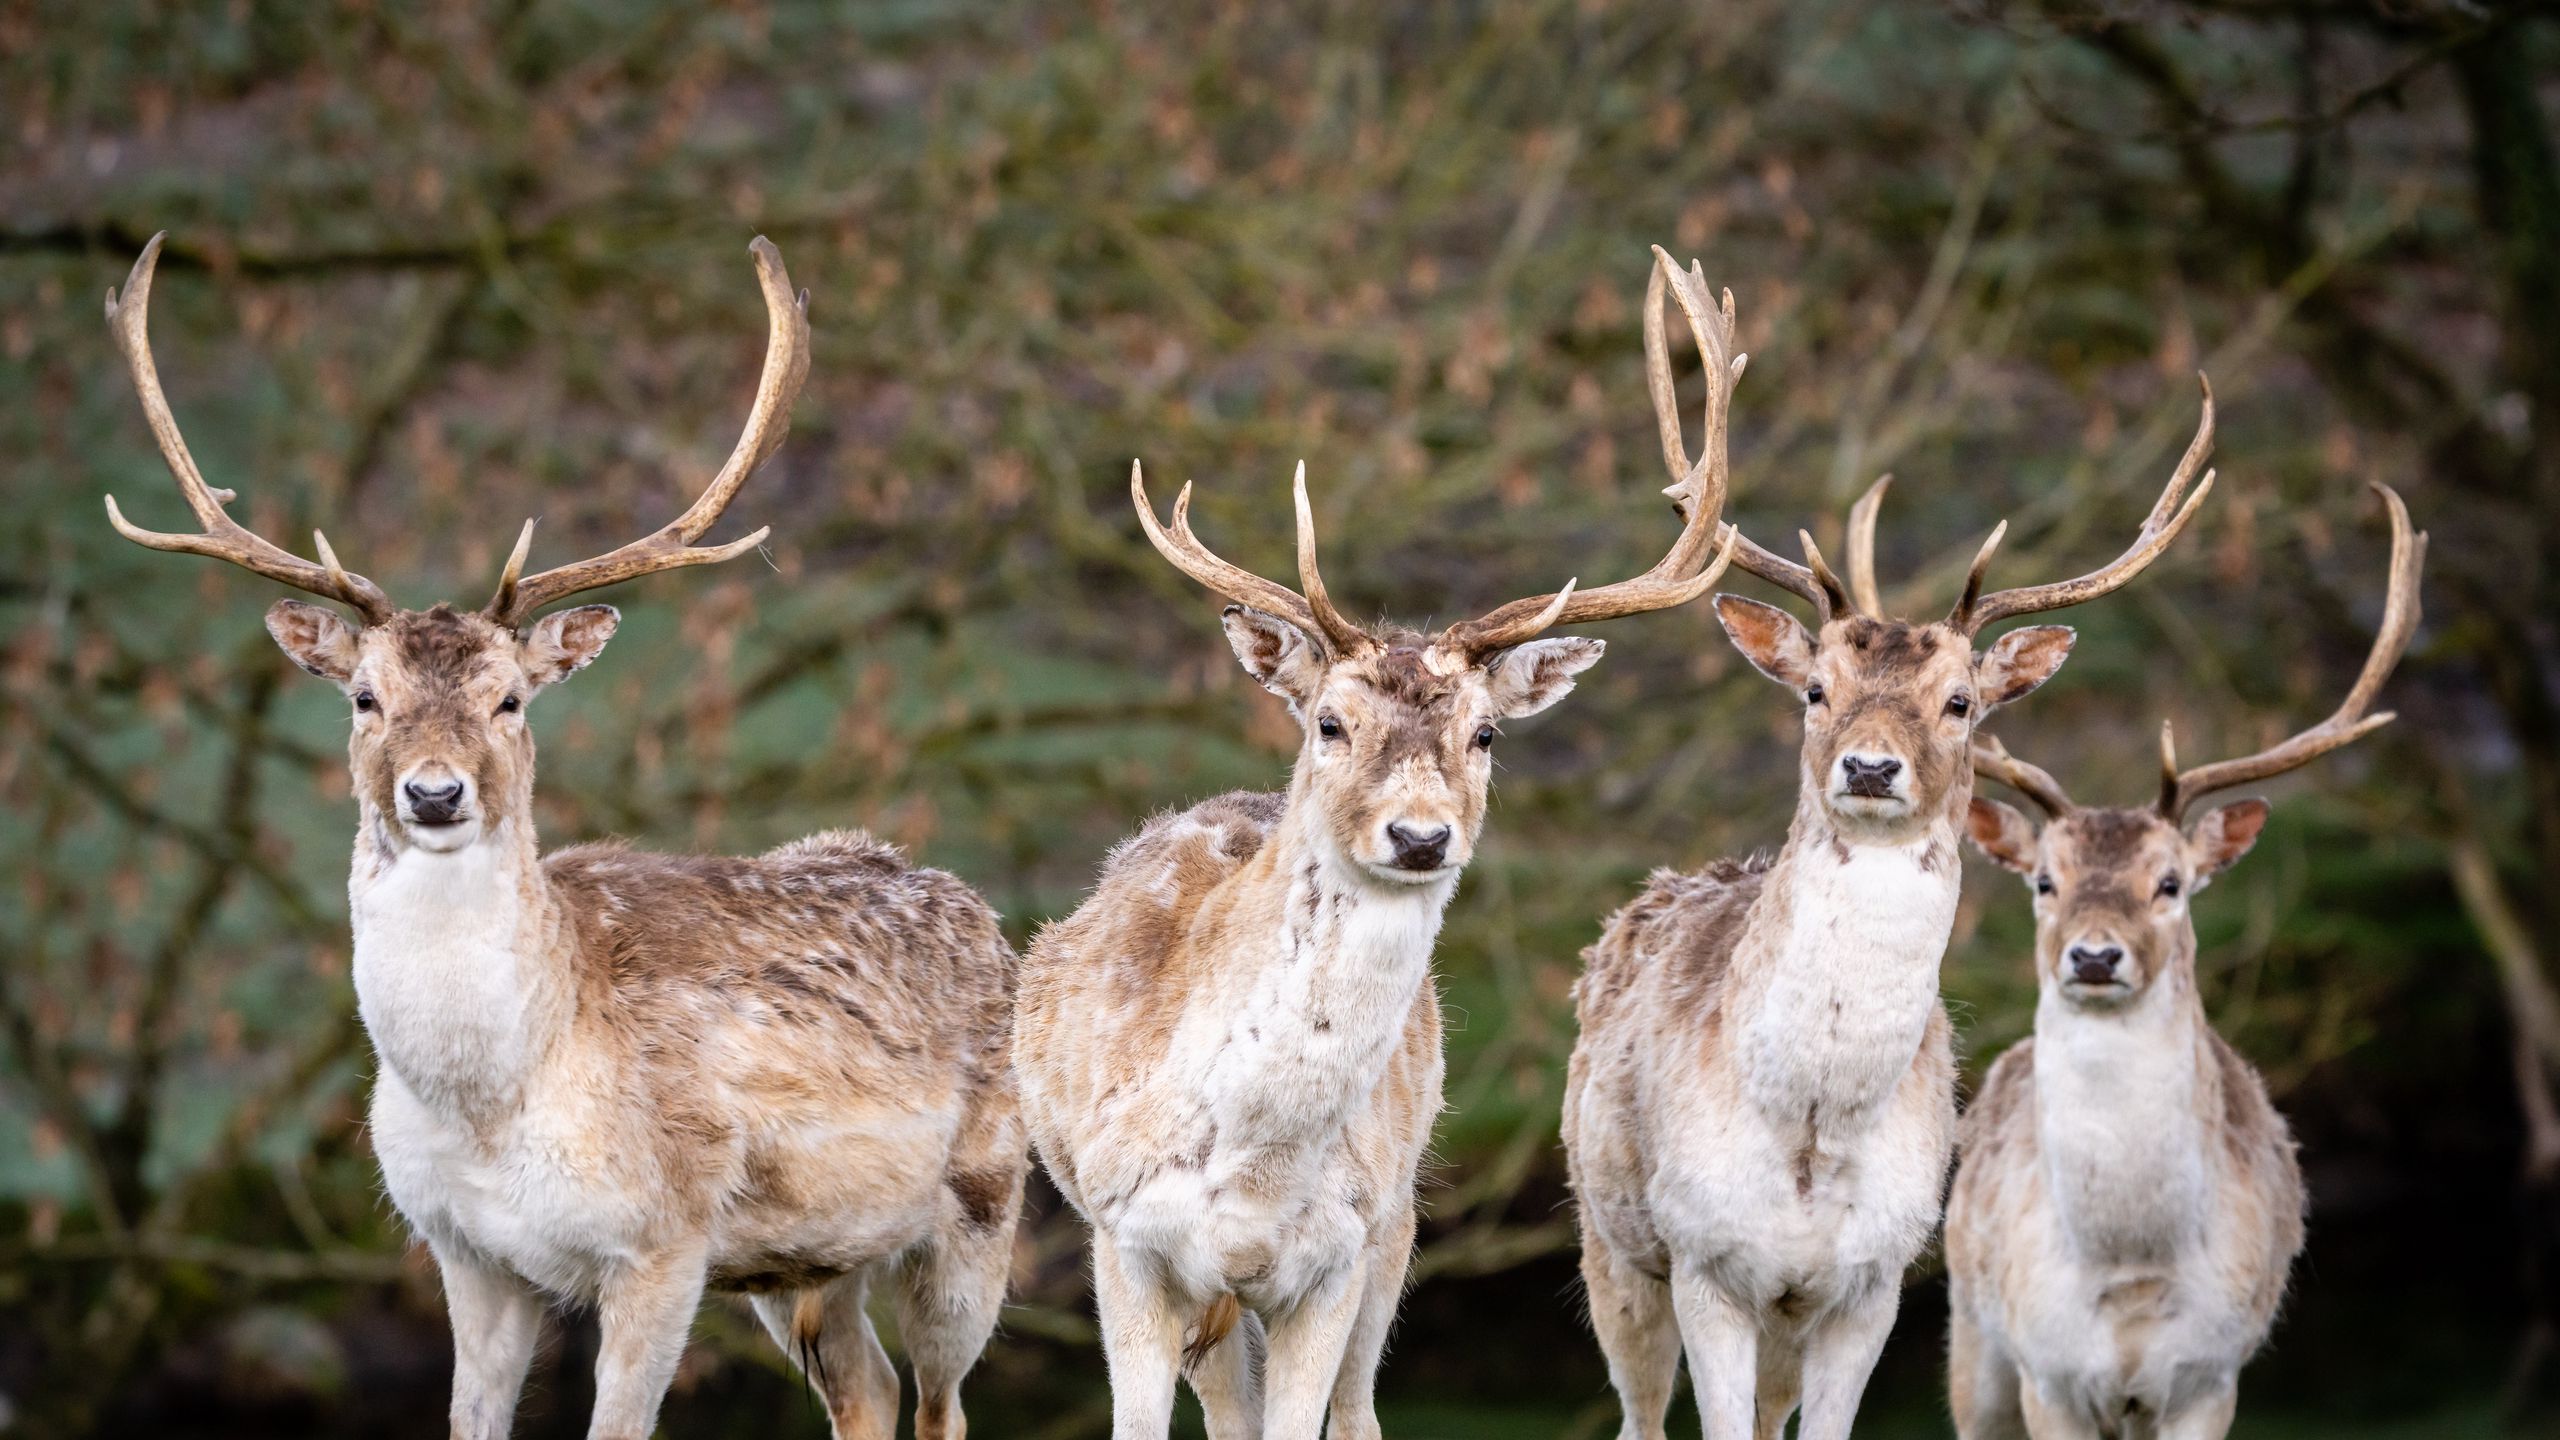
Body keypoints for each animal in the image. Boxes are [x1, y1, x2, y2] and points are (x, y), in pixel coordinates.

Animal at [98, 234, 1026, 1440]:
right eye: (363, 696)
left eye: (510, 699)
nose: (434, 794)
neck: (494, 1097)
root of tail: (980, 911)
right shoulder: (465, 1251)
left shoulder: (666, 1239)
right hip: (799, 1263)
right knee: (866, 1392)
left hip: (982, 1202)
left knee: (940, 1404)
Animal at [1012, 253, 1744, 1440]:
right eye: (1329, 721)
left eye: (1485, 732)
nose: (1417, 833)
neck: (1255, 1164)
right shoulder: (1124, 1240)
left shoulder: (1337, 1255)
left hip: (1397, 1224)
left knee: (1351, 1412)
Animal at [1561, 247, 2221, 1440]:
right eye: (1815, 688)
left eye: (1962, 701)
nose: (1869, 769)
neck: (1812, 1129)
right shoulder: (1705, 1263)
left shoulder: (1871, 1282)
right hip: (1609, 1243)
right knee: (1637, 1410)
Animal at [1948, 484, 2424, 1440]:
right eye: (2044, 881)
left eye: (2170, 882)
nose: (2096, 956)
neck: (2133, 1268)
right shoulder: (2048, 1375)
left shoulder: (2212, 1374)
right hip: (1970, 1343)